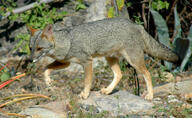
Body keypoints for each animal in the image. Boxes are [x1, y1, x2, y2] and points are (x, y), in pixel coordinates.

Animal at [28, 17, 178, 100]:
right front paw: (49, 83)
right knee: (119, 74)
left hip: (133, 61)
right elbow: (45, 69)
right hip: (110, 59)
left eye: (39, 49)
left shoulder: (87, 62)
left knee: (147, 74)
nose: (30, 60)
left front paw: (85, 94)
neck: (67, 42)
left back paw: (150, 95)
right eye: (31, 48)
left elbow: (87, 81)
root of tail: (135, 24)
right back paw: (108, 90)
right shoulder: (66, 63)